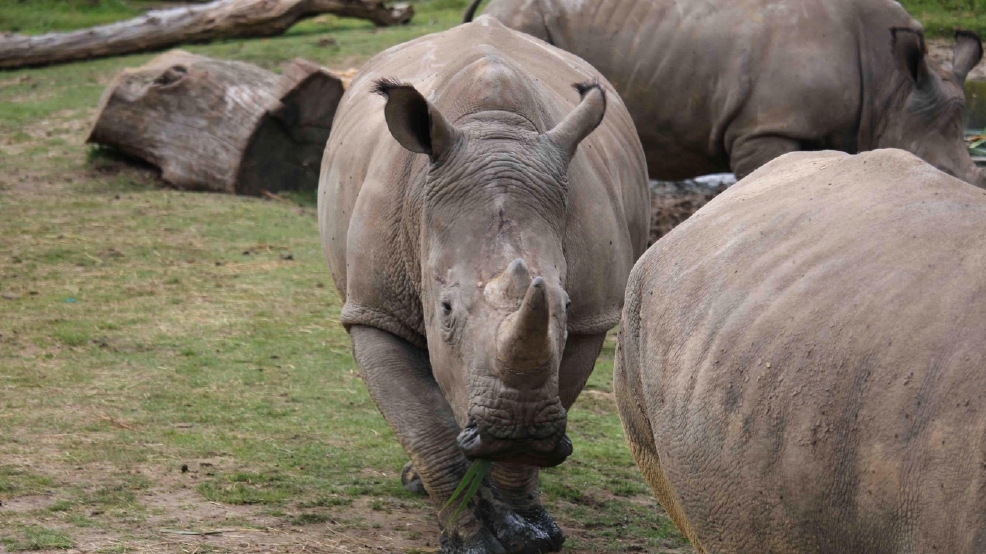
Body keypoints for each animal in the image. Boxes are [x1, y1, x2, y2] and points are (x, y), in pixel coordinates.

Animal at [320, 15, 648, 548]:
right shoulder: (374, 310)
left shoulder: (590, 319)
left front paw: (528, 530)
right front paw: (471, 539)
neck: (493, 130)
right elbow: (423, 428)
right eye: (446, 308)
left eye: (565, 302)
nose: (517, 427)